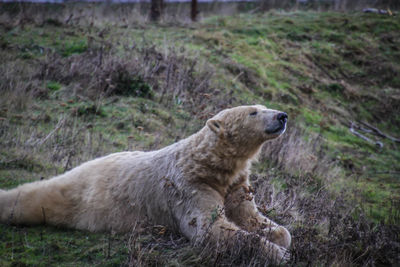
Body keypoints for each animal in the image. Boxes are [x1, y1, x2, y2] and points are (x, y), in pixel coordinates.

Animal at [1, 104, 292, 264]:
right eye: (253, 112)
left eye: (262, 106)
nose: (282, 116)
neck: (208, 163)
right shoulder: (189, 186)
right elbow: (210, 228)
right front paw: (279, 254)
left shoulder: (235, 184)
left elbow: (249, 216)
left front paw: (278, 236)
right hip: (76, 193)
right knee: (35, 198)